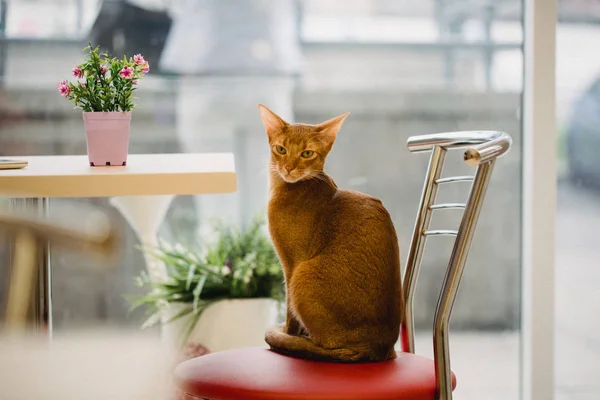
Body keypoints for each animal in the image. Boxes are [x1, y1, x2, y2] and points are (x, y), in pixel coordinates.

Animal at [258, 104, 404, 362]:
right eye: (281, 149)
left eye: (307, 153)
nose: (288, 168)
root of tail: (378, 347)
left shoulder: (290, 264)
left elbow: (289, 311)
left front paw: (288, 333)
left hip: (303, 275)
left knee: (325, 344)